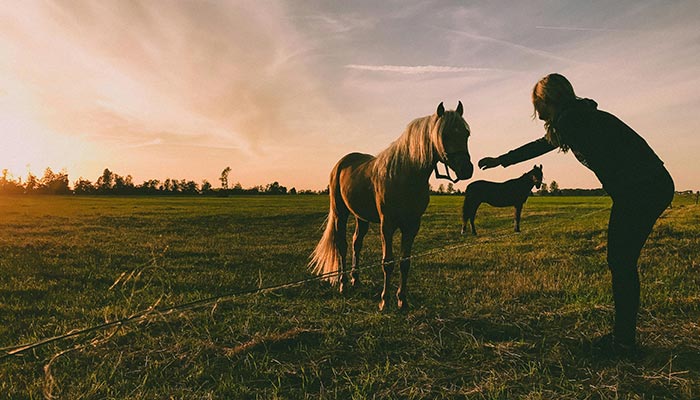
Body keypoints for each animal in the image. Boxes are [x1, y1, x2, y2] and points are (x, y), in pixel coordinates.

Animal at [309, 102, 473, 310]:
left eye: (466, 134)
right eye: (444, 134)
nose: (466, 169)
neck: (405, 175)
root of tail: (341, 163)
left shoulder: (412, 226)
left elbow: (405, 262)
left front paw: (402, 300)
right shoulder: (386, 225)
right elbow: (388, 262)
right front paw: (384, 301)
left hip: (361, 217)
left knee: (356, 243)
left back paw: (356, 280)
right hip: (340, 213)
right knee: (342, 245)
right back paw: (343, 284)